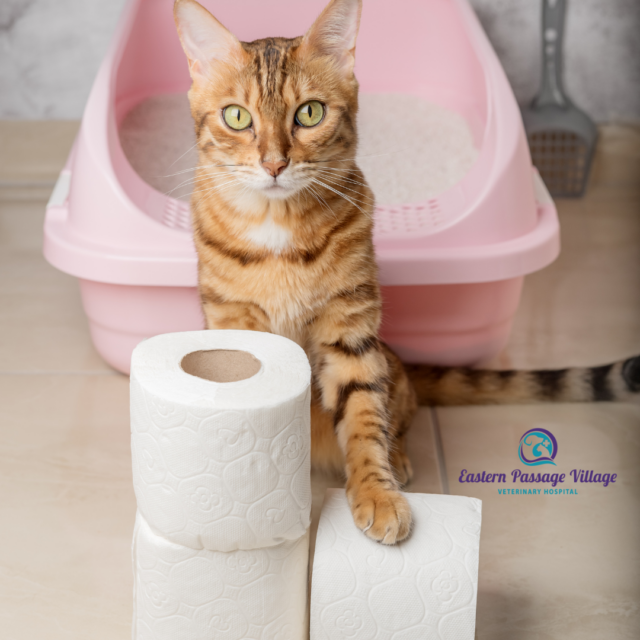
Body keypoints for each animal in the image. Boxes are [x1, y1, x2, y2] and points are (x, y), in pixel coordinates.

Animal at [171, 0, 640, 544]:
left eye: (309, 113)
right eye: (237, 117)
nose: (274, 164)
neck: (278, 229)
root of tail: (404, 361)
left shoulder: (352, 329)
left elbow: (362, 417)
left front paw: (377, 492)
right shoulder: (233, 322)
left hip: (385, 362)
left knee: (395, 410)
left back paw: (397, 457)